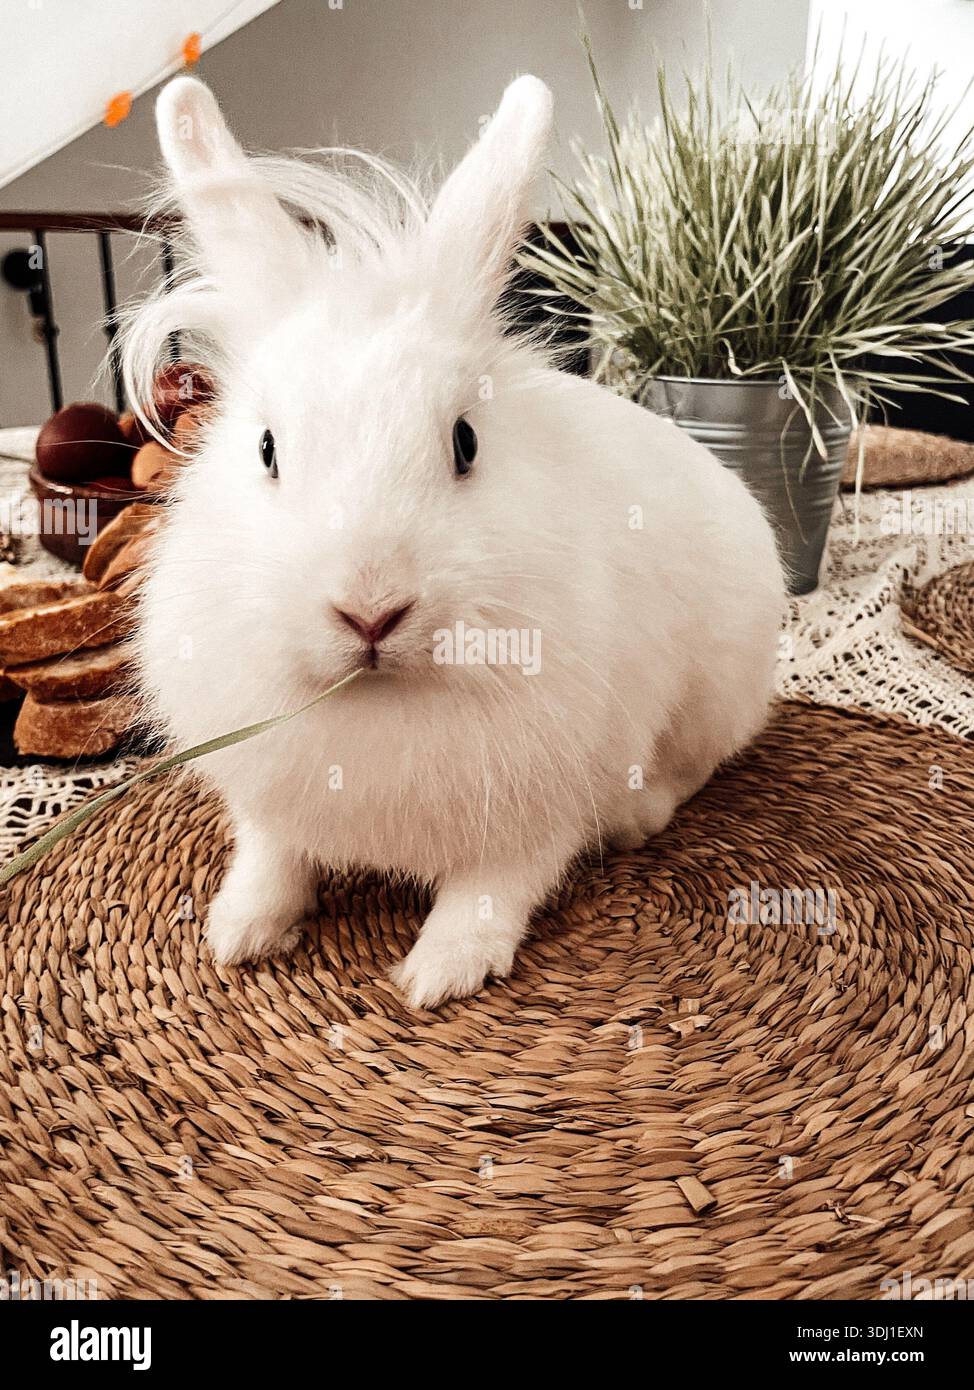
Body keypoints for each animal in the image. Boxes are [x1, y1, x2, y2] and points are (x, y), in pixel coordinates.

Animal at [122, 74, 786, 1009]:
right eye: (266, 450)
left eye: (466, 442)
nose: (370, 610)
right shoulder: (269, 800)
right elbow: (272, 859)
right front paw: (238, 934)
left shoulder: (537, 813)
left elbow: (495, 889)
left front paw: (439, 974)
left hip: (716, 695)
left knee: (691, 769)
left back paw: (635, 816)